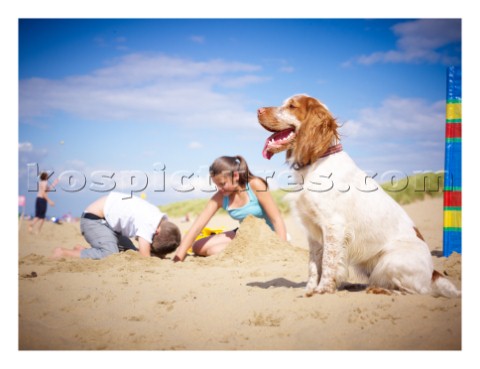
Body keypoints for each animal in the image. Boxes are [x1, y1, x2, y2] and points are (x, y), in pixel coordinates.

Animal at [258, 94, 462, 296]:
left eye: (292, 106)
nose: (258, 110)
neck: (316, 162)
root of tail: (432, 272)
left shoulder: (333, 225)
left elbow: (328, 262)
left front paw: (323, 290)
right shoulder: (313, 230)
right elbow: (313, 265)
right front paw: (309, 290)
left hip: (390, 260)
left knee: (416, 291)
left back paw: (379, 290)